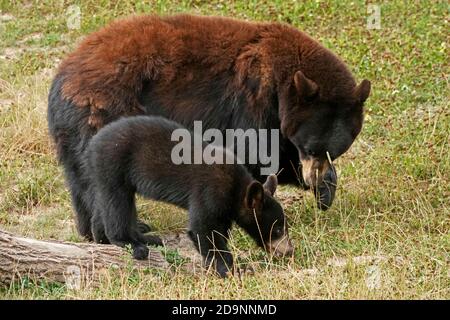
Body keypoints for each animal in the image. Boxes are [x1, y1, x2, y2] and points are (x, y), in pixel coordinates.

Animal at [47, 15, 370, 240]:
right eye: (310, 146)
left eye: (334, 151)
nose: (312, 178)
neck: (278, 78)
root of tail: (62, 78)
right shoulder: (250, 102)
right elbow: (254, 154)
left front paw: (325, 190)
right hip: (103, 112)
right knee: (101, 181)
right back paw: (115, 231)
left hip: (72, 133)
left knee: (79, 180)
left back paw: (90, 230)